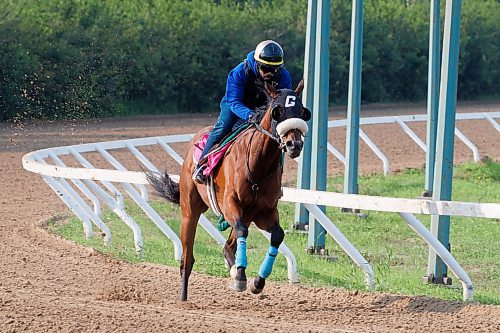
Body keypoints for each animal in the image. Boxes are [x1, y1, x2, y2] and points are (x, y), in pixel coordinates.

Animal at [147, 81, 308, 300]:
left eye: (303, 112)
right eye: (278, 111)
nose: (294, 144)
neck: (258, 165)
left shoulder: (264, 212)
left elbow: (277, 235)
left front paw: (257, 281)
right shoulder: (230, 203)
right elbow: (241, 230)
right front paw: (240, 276)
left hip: (246, 215)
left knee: (228, 245)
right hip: (190, 209)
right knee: (187, 259)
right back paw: (184, 297)